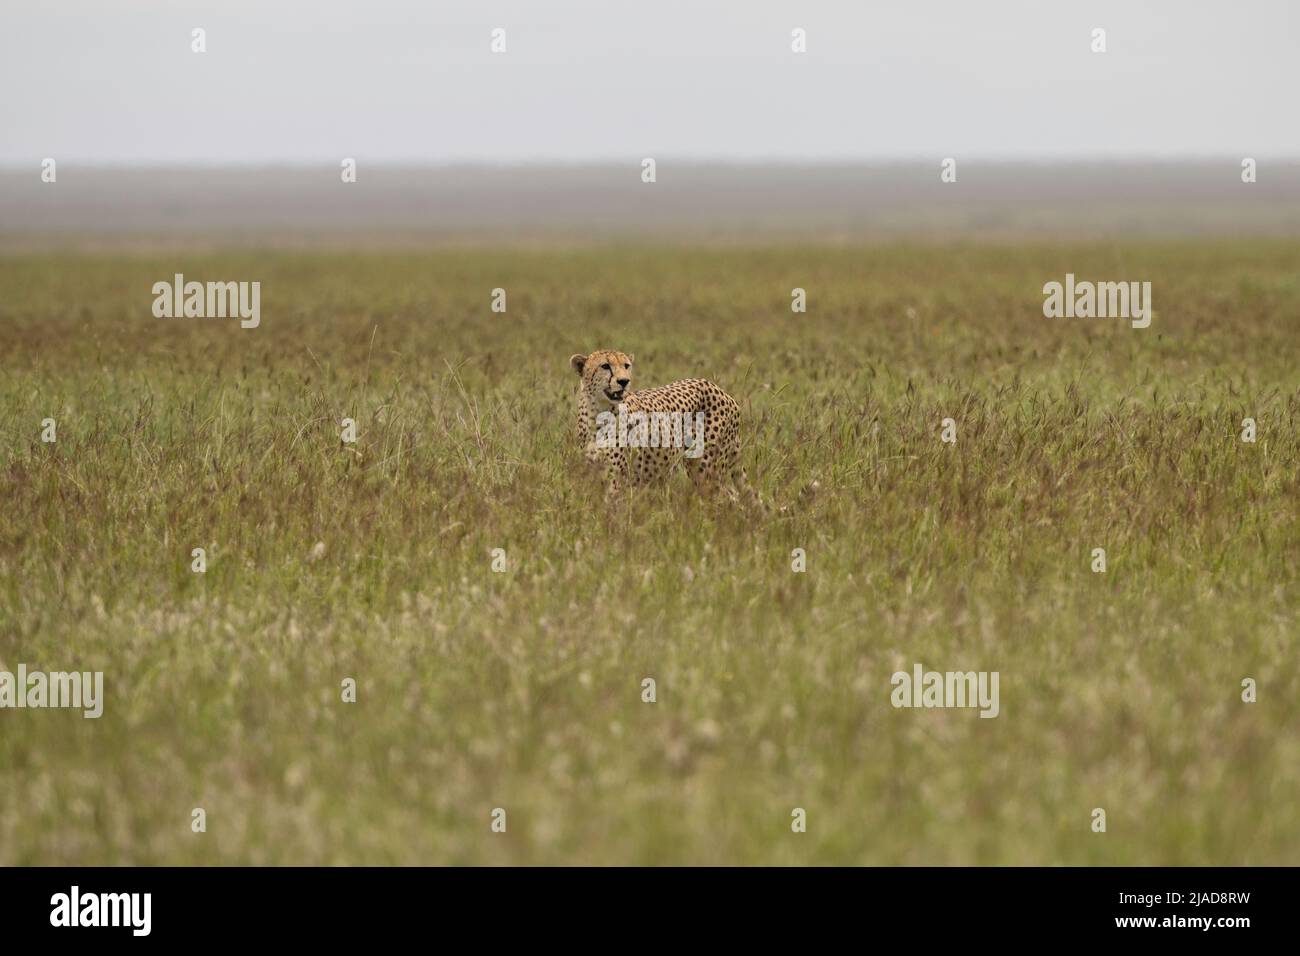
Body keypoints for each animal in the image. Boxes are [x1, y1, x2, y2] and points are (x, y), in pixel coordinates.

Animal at [569, 348, 759, 502]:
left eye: (626, 366)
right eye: (605, 366)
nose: (624, 381)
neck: (596, 413)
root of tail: (720, 389)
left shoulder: (617, 480)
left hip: (705, 470)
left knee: (729, 497)